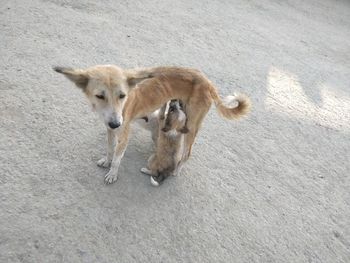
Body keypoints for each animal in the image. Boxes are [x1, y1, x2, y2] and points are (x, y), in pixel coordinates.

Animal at [54, 65, 252, 185]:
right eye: (100, 96)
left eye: (122, 95)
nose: (116, 122)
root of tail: (208, 82)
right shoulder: (109, 129)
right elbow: (110, 148)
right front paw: (107, 160)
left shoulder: (124, 134)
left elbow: (117, 157)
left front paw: (113, 173)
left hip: (192, 126)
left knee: (187, 153)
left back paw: (176, 170)